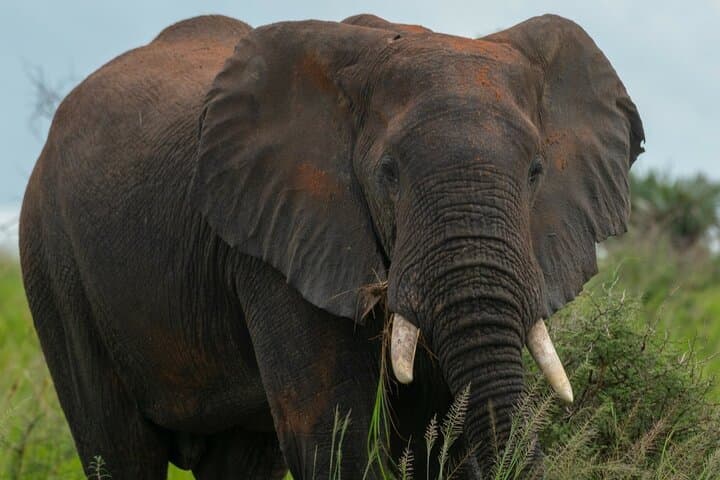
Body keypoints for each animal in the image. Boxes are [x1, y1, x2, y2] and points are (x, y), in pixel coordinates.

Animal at [19, 12, 644, 479]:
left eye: (537, 170)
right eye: (389, 173)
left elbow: (444, 439)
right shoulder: (278, 241)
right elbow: (334, 439)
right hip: (52, 258)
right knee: (118, 448)